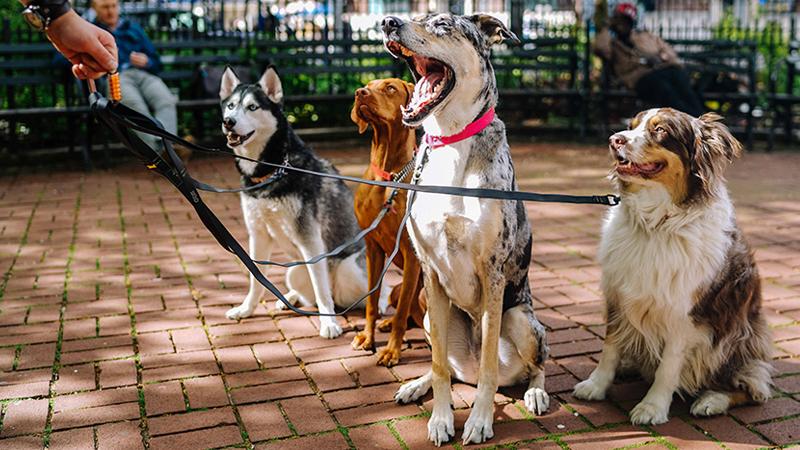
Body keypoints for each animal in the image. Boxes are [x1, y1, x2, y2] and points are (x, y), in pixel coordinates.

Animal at [219, 67, 388, 338]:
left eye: (253, 107)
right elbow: (256, 279)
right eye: (231, 106)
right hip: (295, 270)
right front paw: (246, 309)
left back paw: (378, 303)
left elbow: (320, 288)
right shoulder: (258, 235)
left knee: (376, 289)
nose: (228, 122)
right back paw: (289, 298)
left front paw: (329, 324)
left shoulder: (310, 239)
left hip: (348, 269)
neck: (273, 170)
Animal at [348, 77, 424, 366]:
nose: (359, 93)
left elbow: (402, 314)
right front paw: (367, 338)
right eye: (367, 85)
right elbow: (371, 302)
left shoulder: (412, 254)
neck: (388, 176)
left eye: (390, 87)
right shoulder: (372, 247)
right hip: (396, 288)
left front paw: (392, 350)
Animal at [382, 14, 552, 446]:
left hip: (522, 320)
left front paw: (479, 421)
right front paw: (442, 419)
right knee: (449, 365)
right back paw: (417, 385)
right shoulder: (429, 272)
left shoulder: (492, 273)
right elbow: (440, 365)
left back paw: (536, 393)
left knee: (535, 365)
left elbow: (491, 364)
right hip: (430, 316)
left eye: (442, 24)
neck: (451, 141)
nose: (388, 21)